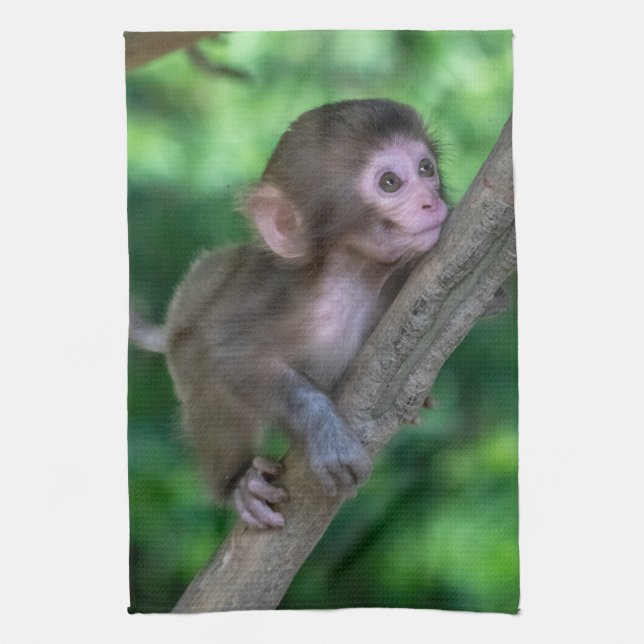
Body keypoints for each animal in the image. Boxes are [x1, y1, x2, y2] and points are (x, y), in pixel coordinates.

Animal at [151, 99, 449, 529]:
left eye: (426, 168)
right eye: (390, 182)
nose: (431, 200)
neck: (352, 282)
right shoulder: (280, 299)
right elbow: (227, 353)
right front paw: (323, 432)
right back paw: (241, 483)